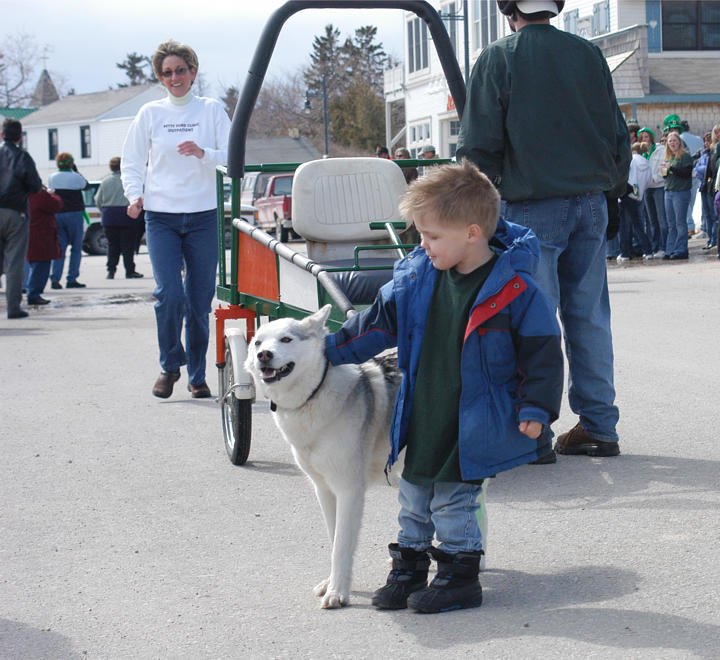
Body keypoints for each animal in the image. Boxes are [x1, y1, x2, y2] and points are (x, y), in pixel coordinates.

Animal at [245, 304, 402, 608]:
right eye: (258, 342)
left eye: (286, 339)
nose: (263, 355)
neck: (312, 398)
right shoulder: (324, 490)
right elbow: (334, 540)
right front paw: (332, 584)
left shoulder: (349, 491)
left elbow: (341, 546)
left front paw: (338, 593)